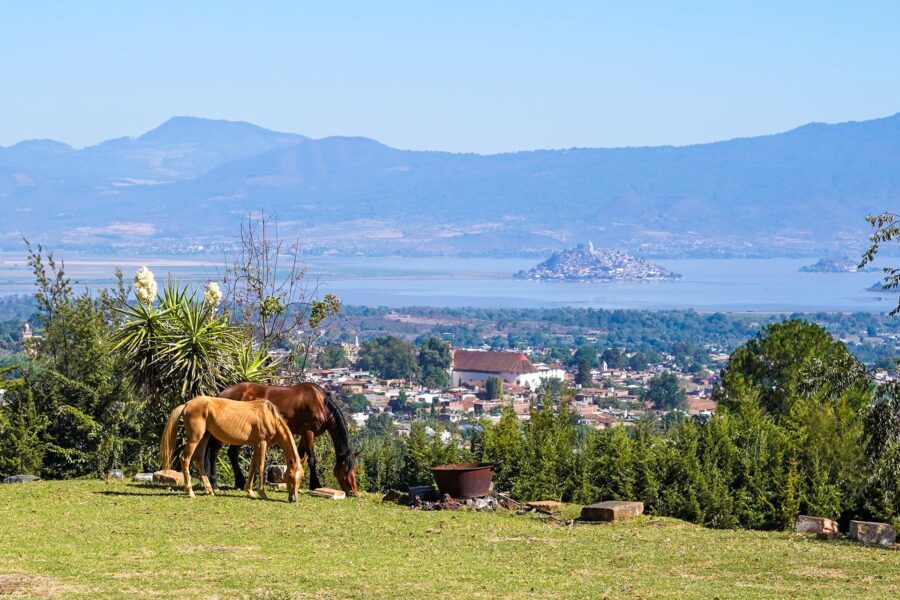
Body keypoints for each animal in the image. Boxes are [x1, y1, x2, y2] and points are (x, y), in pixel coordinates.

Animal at [160, 396, 304, 500]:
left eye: (301, 477)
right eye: (290, 476)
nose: (293, 499)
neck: (269, 417)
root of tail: (187, 404)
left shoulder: (256, 445)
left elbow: (253, 466)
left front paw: (249, 491)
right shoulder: (262, 443)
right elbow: (261, 466)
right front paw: (262, 493)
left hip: (204, 437)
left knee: (198, 459)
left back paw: (209, 489)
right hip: (195, 438)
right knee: (185, 458)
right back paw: (190, 491)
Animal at [207, 384, 358, 496]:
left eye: (355, 469)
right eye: (345, 469)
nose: (353, 492)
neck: (321, 403)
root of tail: (221, 394)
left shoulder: (303, 435)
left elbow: (299, 456)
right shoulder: (308, 432)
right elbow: (311, 459)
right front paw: (315, 484)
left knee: (232, 453)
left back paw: (239, 482)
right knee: (214, 452)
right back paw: (214, 483)